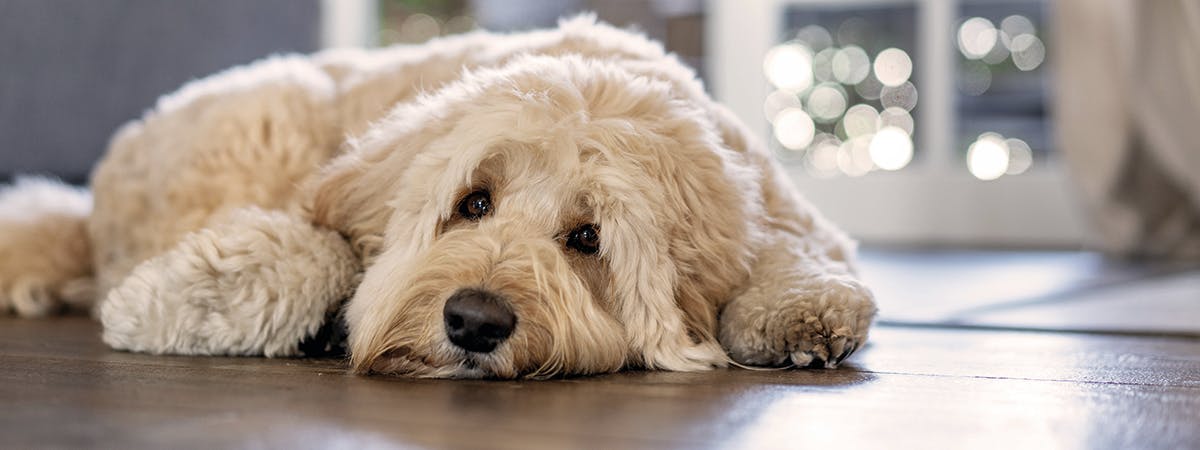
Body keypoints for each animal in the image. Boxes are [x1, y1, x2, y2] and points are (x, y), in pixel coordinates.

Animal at [0, 15, 873, 379]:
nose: (474, 322)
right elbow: (320, 249)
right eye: (475, 201)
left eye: (588, 239)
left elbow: (796, 258)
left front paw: (803, 312)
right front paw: (203, 294)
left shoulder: (779, 211)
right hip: (263, 120)